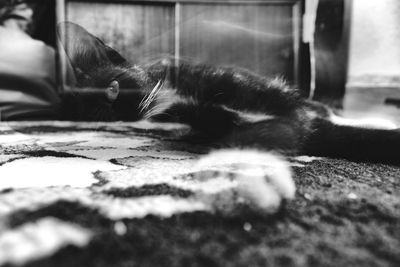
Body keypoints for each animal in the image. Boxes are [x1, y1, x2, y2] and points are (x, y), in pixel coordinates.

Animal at [57, 22, 398, 216]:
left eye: (113, 89)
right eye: (97, 116)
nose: (129, 117)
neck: (178, 96)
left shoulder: (280, 104)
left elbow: (290, 122)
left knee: (321, 108)